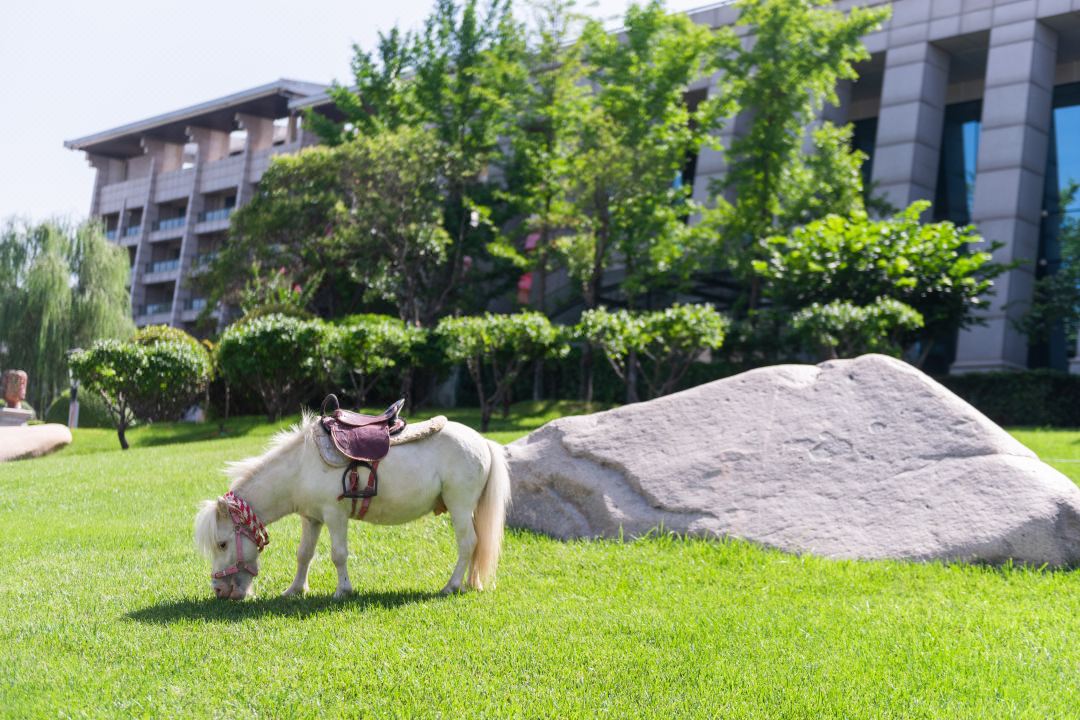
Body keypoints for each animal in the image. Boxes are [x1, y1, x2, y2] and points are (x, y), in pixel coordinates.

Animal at [195, 414, 509, 600]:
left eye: (222, 544)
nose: (219, 590)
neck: (301, 466)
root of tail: (482, 441)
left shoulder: (335, 516)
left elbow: (338, 555)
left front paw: (342, 590)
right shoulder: (311, 518)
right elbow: (304, 554)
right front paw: (295, 589)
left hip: (459, 506)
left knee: (468, 544)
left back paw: (451, 586)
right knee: (477, 545)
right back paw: (471, 583)